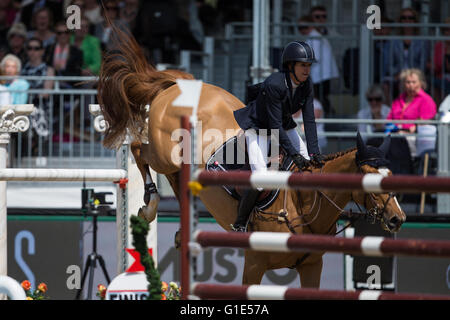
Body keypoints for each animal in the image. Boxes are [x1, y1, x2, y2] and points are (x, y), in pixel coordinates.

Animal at [96, 28, 406, 288]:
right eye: (371, 180)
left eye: (391, 176)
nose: (397, 219)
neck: (303, 202)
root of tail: (175, 85)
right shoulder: (255, 264)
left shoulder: (311, 267)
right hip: (164, 154)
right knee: (139, 149)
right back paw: (149, 205)